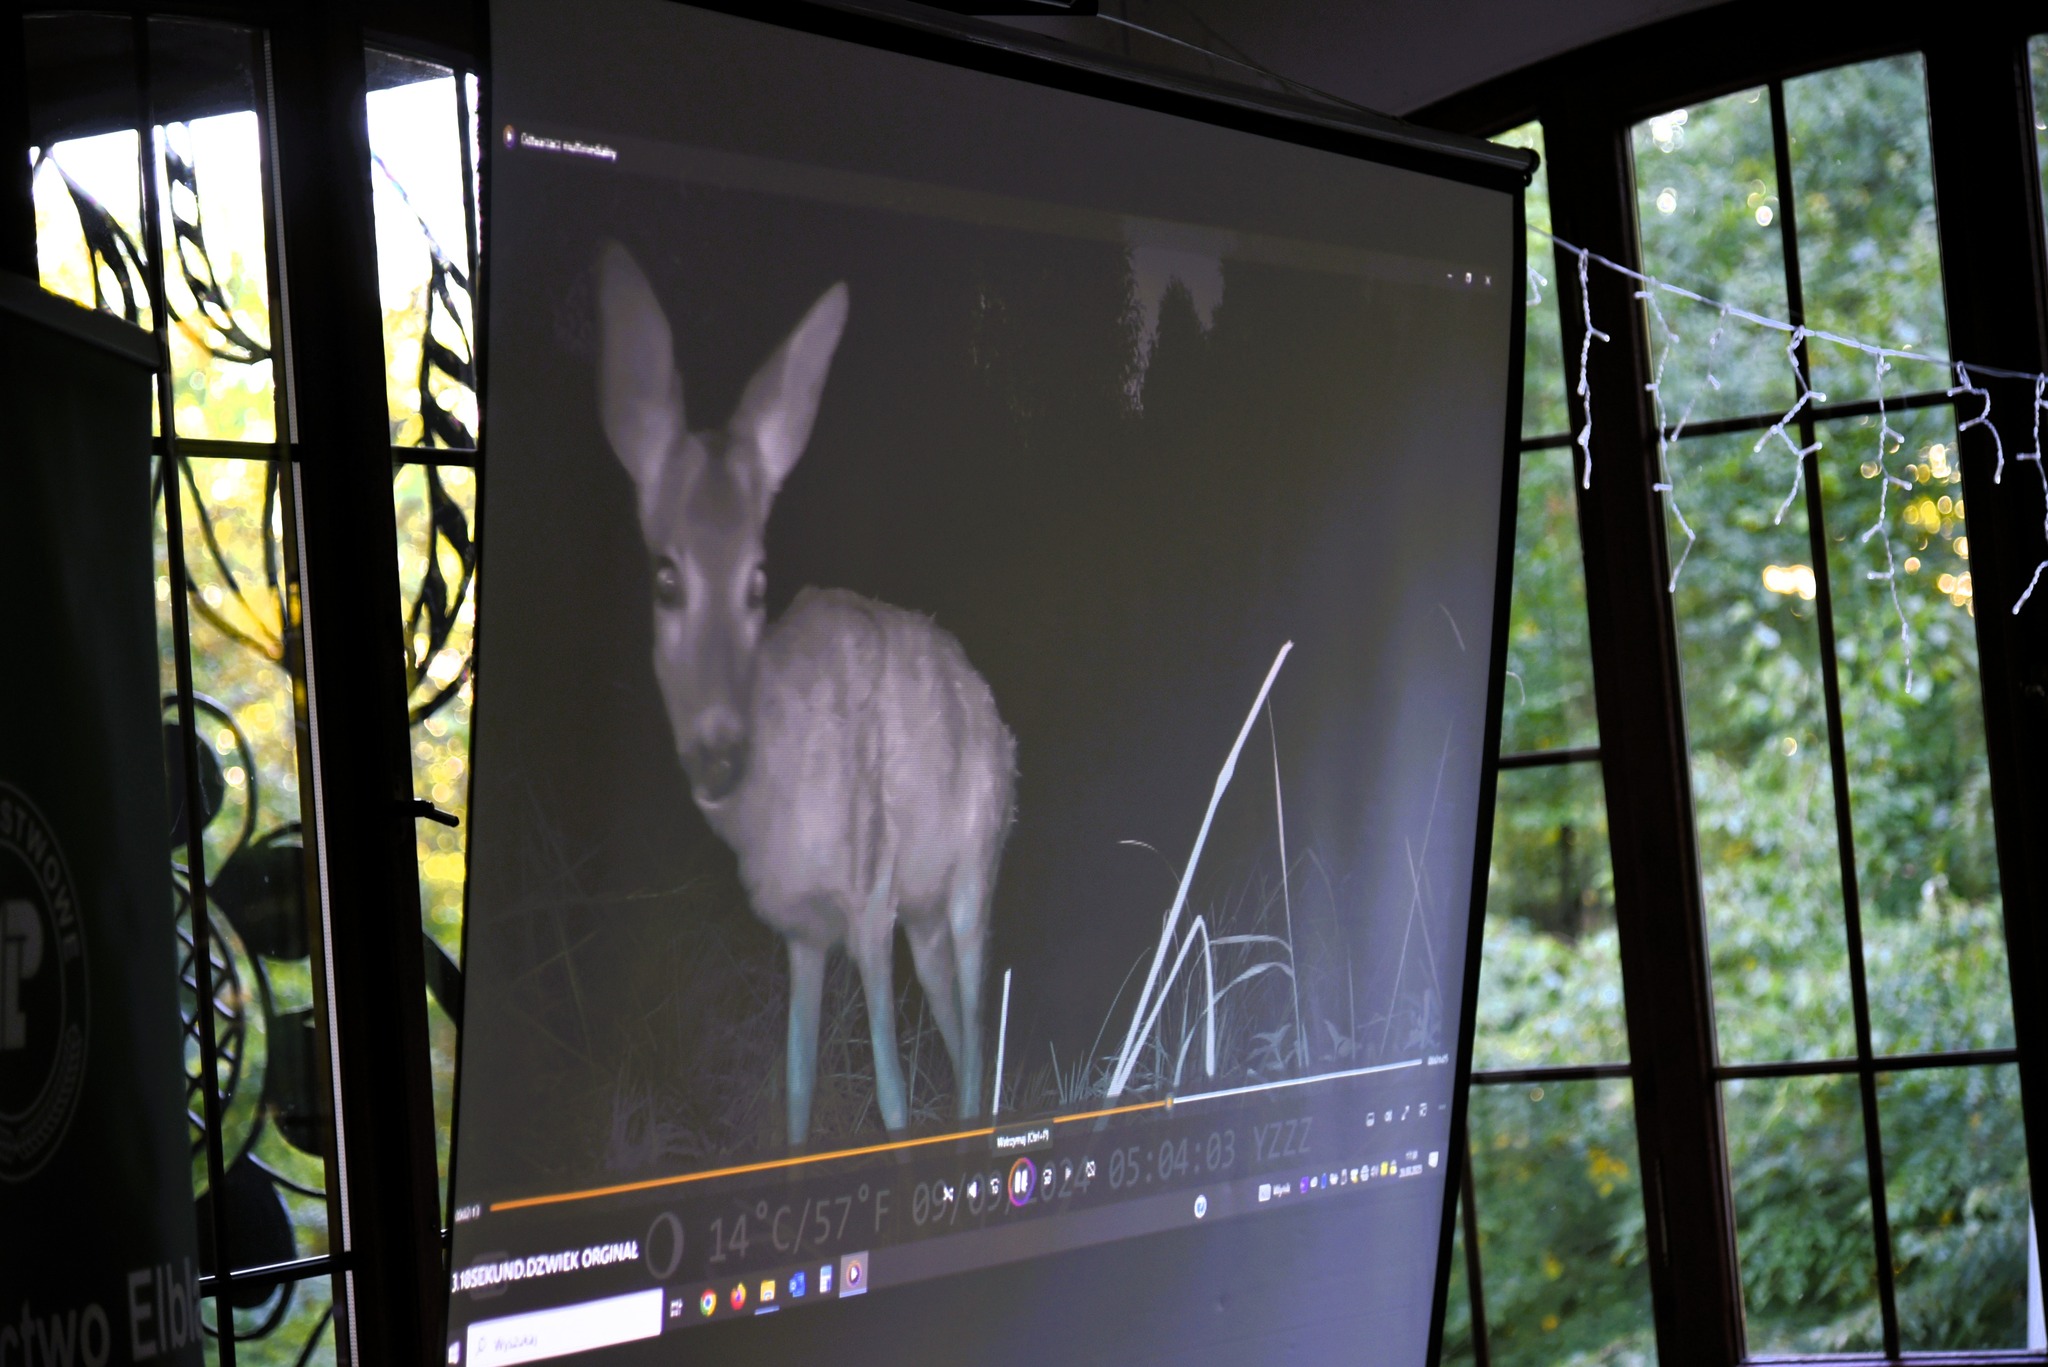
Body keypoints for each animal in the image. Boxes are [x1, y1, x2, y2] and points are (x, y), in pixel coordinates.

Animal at [595, 243, 1015, 1147]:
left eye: (759, 578)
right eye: (666, 576)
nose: (718, 757)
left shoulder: (867, 890)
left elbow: (890, 1101)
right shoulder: (799, 929)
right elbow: (793, 1093)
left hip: (972, 875)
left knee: (975, 1025)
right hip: (925, 916)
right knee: (958, 1033)